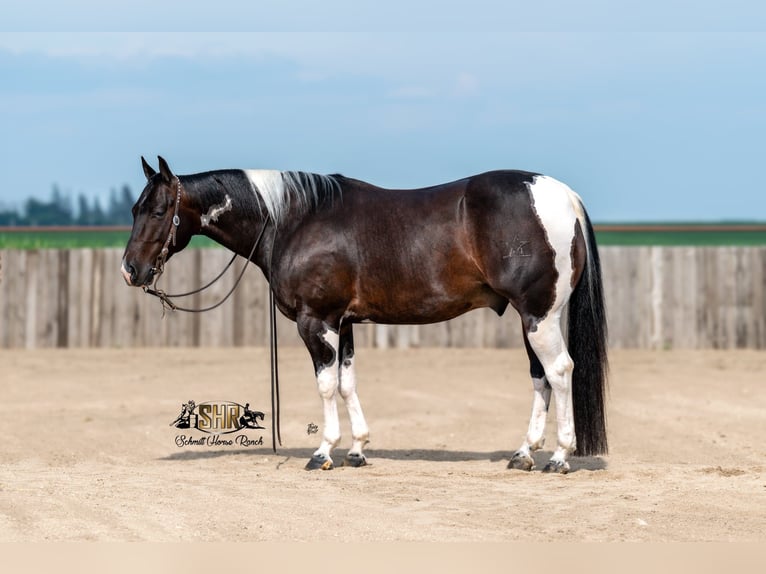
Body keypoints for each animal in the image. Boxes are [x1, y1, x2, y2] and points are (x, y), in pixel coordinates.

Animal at [122, 156, 608, 473]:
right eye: (134, 208)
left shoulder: (316, 322)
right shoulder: (344, 323)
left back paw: (560, 457)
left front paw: (324, 452)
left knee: (560, 371)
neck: (293, 219)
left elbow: (325, 385)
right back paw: (524, 454)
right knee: (541, 378)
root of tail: (562, 195)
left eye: (160, 210)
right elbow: (347, 383)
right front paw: (357, 450)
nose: (131, 270)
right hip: (531, 320)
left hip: (540, 316)